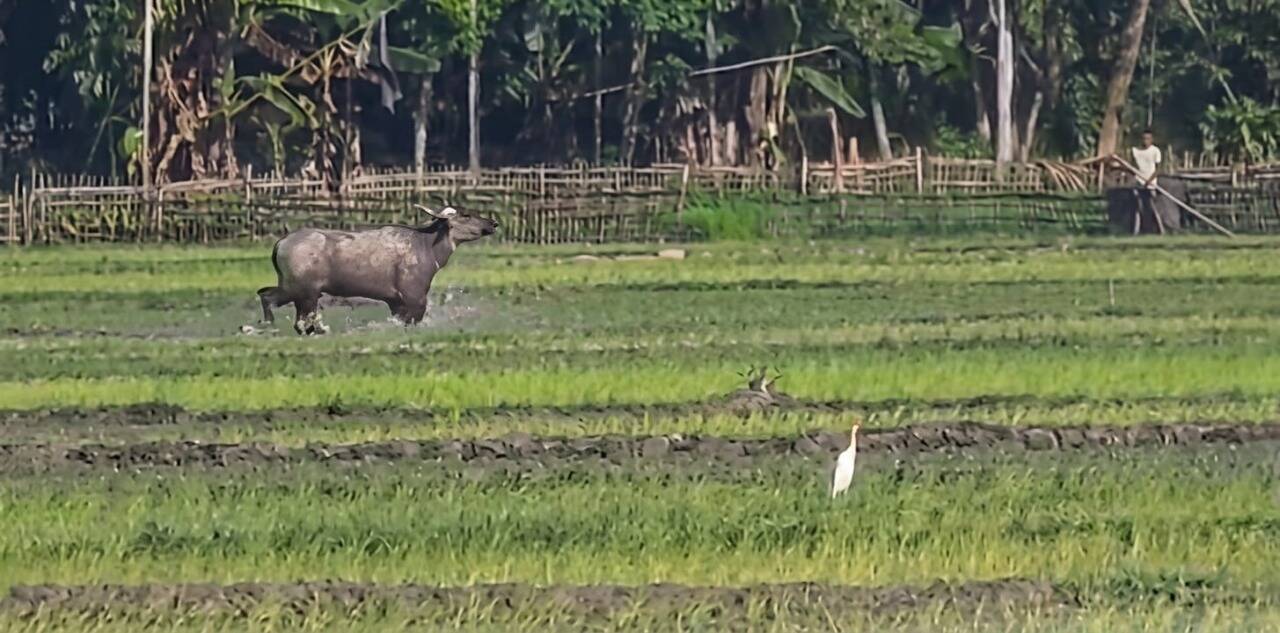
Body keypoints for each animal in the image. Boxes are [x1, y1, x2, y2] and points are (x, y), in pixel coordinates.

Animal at [257, 205, 498, 334]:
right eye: (466, 215)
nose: (493, 223)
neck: (429, 249)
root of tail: (280, 244)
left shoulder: (395, 302)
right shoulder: (414, 297)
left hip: (298, 291)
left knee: (272, 298)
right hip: (302, 290)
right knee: (278, 304)